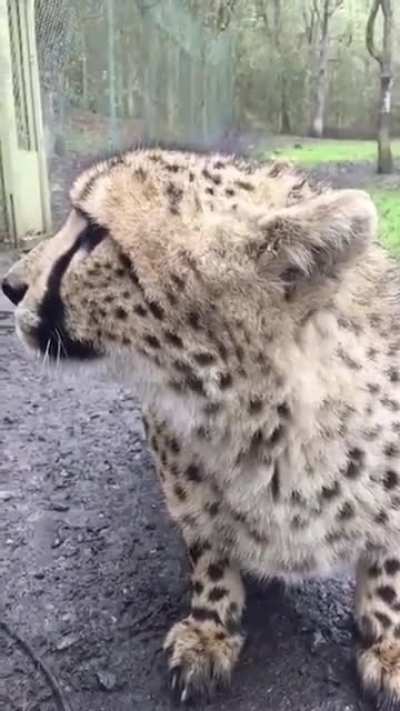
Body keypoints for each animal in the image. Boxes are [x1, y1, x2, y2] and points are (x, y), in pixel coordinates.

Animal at [3, 145, 400, 709]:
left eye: (95, 233)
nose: (10, 285)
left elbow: (387, 561)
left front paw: (385, 640)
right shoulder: (178, 458)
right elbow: (206, 538)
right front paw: (210, 628)